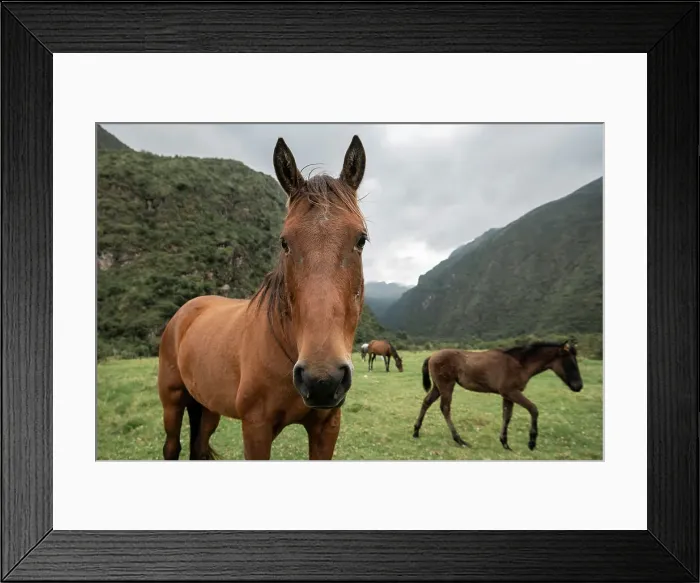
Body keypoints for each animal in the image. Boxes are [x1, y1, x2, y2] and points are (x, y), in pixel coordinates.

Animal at [157, 135, 368, 460]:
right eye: (284, 243)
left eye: (361, 240)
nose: (322, 380)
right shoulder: (256, 428)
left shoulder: (326, 426)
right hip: (172, 401)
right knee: (171, 447)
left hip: (208, 407)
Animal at [413, 340, 583, 450]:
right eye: (570, 363)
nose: (579, 386)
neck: (520, 364)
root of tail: (432, 356)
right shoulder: (511, 392)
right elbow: (533, 409)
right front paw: (532, 442)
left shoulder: (507, 395)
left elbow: (507, 416)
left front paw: (505, 443)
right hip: (446, 385)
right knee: (445, 408)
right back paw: (460, 440)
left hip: (438, 386)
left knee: (426, 402)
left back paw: (416, 431)